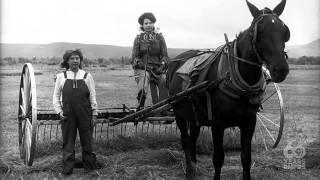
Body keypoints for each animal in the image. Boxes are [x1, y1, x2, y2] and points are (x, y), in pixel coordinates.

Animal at [168, 0, 290, 179]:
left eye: (284, 31)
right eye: (258, 31)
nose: (280, 69)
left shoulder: (249, 122)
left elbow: (246, 157)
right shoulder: (217, 124)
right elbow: (218, 158)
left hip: (194, 113)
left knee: (193, 137)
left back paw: (194, 164)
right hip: (179, 112)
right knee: (185, 141)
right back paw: (189, 170)